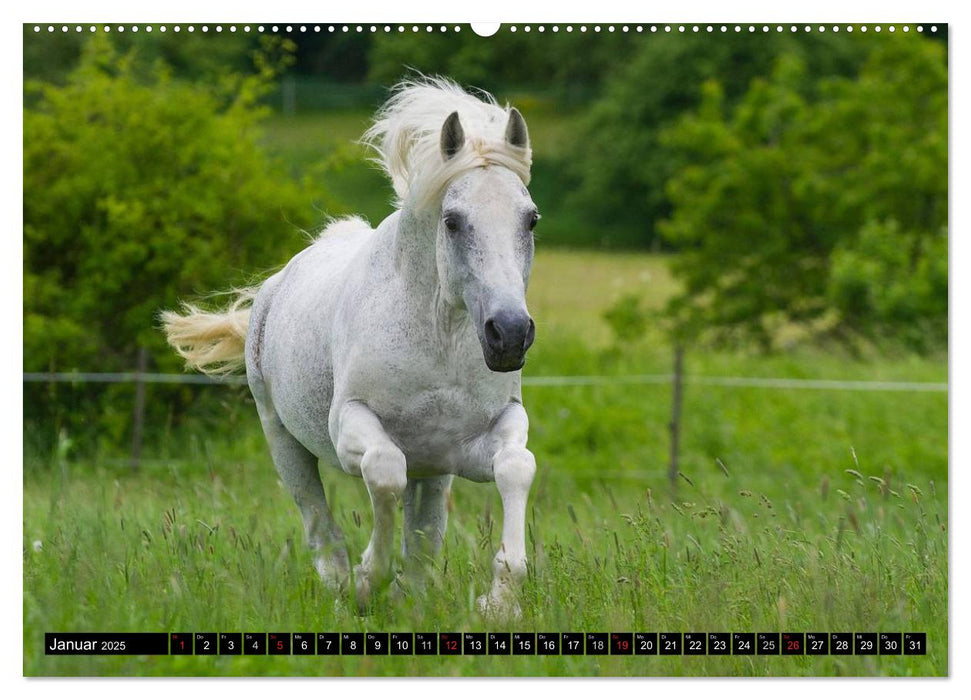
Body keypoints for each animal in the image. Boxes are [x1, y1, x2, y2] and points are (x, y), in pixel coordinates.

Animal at [160, 76, 540, 616]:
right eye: (452, 221)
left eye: (530, 219)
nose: (508, 333)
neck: (437, 340)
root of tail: (275, 287)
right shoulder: (350, 427)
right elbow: (384, 472)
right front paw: (368, 581)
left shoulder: (482, 437)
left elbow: (516, 468)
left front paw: (501, 600)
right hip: (282, 439)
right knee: (319, 520)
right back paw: (343, 585)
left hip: (434, 470)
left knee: (424, 536)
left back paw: (409, 596)